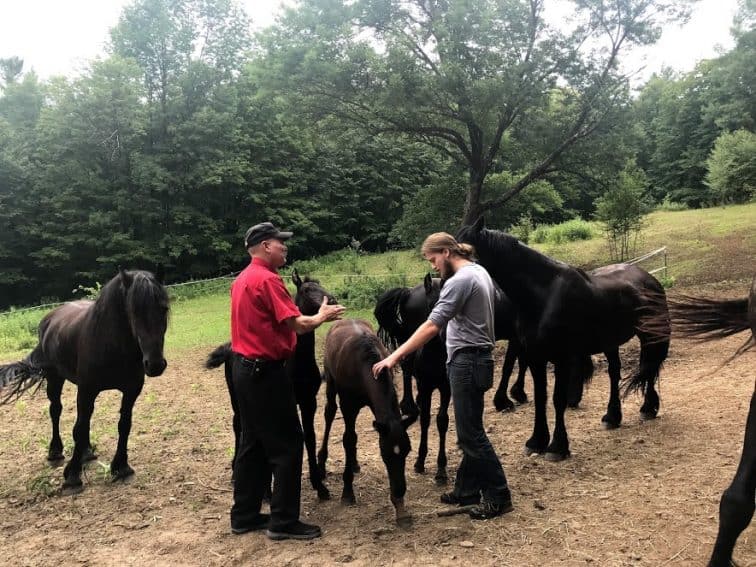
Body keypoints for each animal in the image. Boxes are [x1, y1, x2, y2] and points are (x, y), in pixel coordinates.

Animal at [0, 270, 168, 492]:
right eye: (134, 311)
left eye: (164, 308)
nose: (155, 364)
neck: (111, 344)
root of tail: (49, 319)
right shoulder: (87, 390)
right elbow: (79, 428)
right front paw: (72, 475)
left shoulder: (131, 391)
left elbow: (124, 424)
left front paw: (121, 466)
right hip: (55, 378)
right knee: (56, 411)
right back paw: (55, 451)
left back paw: (86, 452)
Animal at [318, 320, 416, 528]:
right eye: (385, 455)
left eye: (407, 452)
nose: (399, 490)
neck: (365, 364)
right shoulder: (348, 406)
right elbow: (348, 439)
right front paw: (347, 492)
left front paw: (400, 509)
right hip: (330, 381)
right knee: (329, 413)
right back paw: (321, 462)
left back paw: (354, 463)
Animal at [458, 217, 672, 462]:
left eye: (465, 251)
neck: (542, 296)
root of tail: (650, 278)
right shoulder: (536, 357)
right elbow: (541, 397)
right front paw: (536, 441)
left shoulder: (561, 358)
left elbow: (557, 399)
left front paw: (557, 447)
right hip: (610, 342)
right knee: (616, 372)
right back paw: (612, 416)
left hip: (650, 335)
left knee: (649, 367)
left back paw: (648, 408)